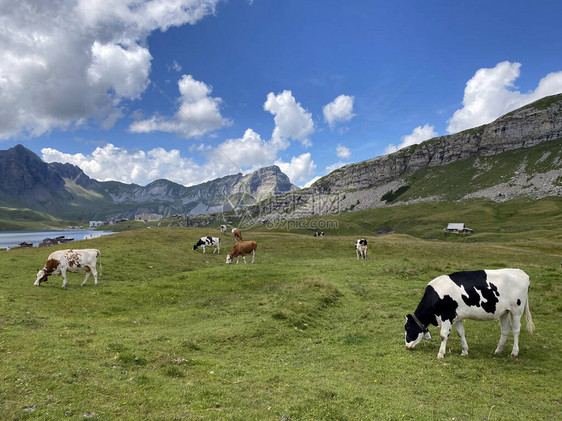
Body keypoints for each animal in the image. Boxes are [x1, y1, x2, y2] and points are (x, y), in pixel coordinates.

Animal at [402, 270, 532, 358]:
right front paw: (464, 351)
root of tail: (522, 273)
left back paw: (514, 352)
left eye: (408, 328)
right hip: (504, 311)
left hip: (516, 310)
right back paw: (498, 350)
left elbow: (443, 335)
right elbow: (461, 333)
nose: (407, 346)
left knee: (516, 329)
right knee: (505, 329)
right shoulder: (457, 317)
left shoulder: (447, 316)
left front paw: (440, 354)